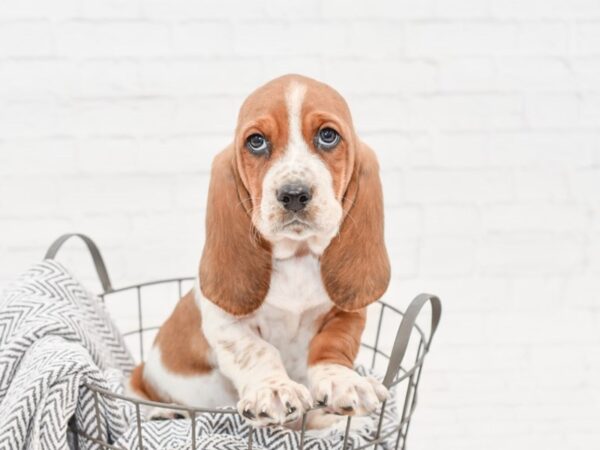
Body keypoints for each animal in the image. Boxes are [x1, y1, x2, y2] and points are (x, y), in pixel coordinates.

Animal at [129, 74, 392, 428]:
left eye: (327, 136)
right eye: (256, 142)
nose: (293, 194)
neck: (297, 257)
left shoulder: (347, 314)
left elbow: (332, 348)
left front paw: (344, 381)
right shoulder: (226, 324)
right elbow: (258, 352)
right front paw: (275, 390)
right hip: (137, 380)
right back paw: (163, 412)